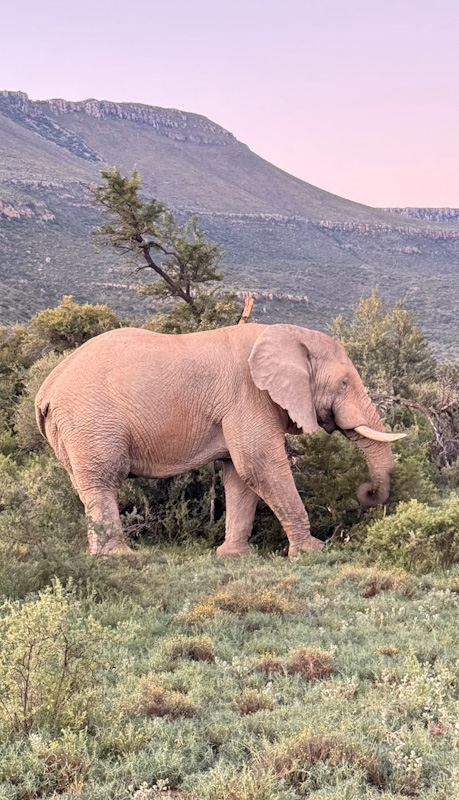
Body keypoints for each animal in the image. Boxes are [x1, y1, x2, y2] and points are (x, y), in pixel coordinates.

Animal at [35, 323, 405, 556]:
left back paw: (98, 555)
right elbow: (259, 465)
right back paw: (119, 557)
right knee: (103, 481)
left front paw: (233, 556)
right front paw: (313, 551)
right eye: (343, 384)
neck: (287, 334)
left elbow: (239, 476)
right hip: (90, 419)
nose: (366, 493)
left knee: (87, 487)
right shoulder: (249, 396)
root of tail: (46, 389)